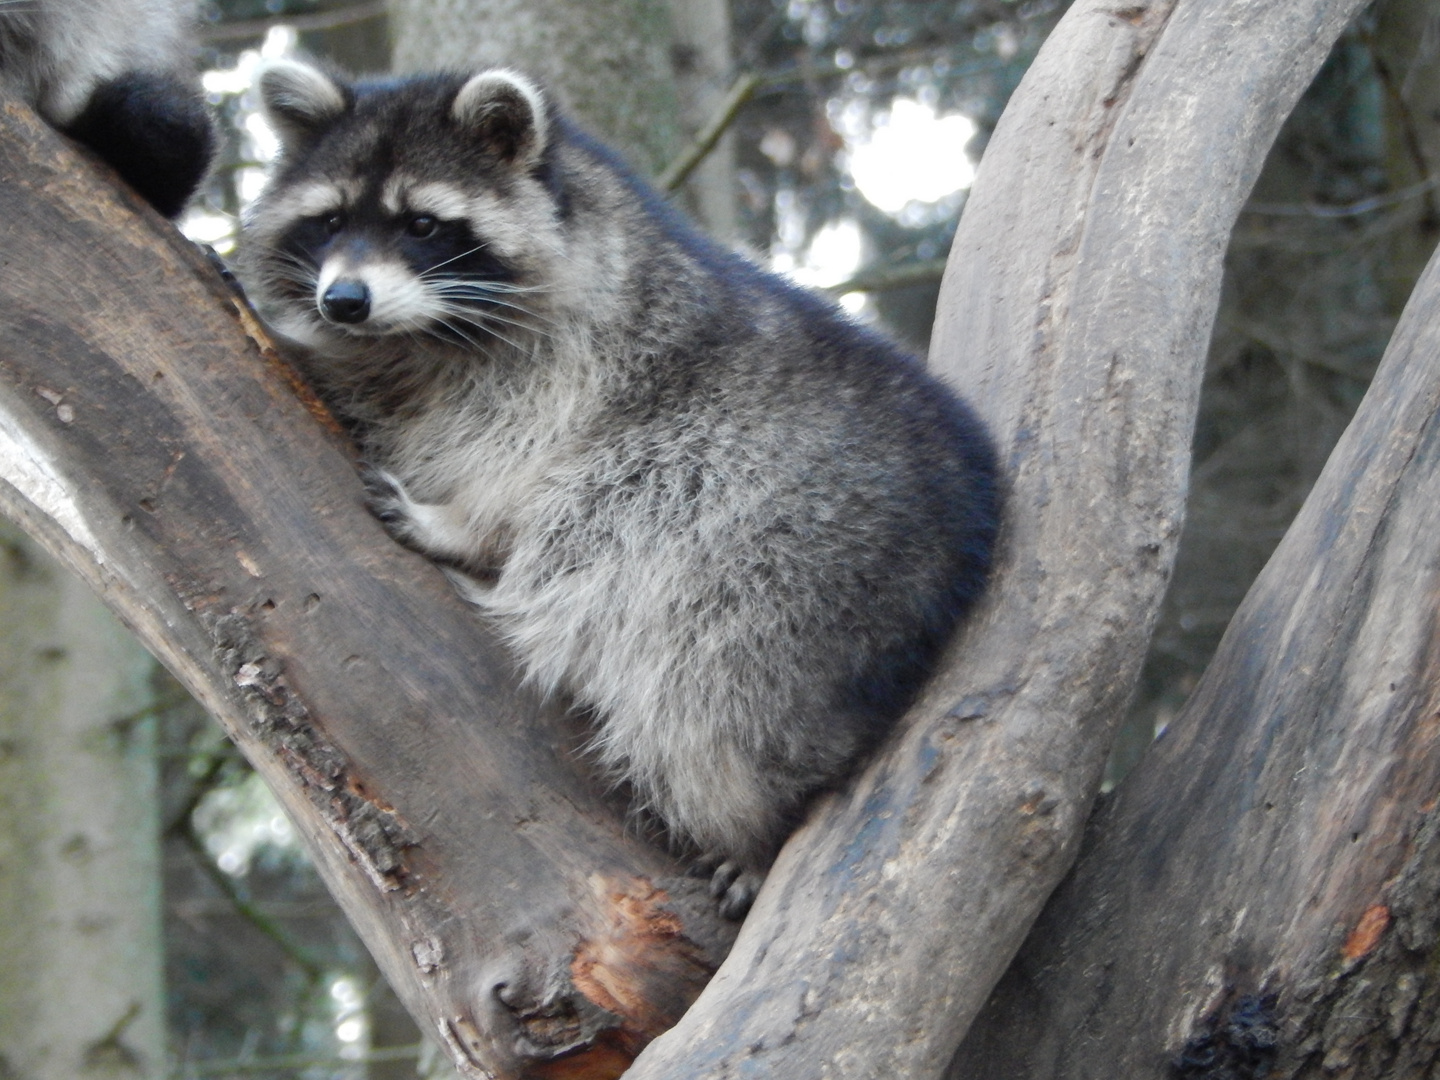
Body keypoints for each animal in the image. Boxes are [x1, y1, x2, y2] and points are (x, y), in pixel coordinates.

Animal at [241, 59, 996, 915]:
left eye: (423, 226)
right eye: (330, 220)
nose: (344, 301)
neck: (425, 334)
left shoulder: (585, 359)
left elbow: (527, 462)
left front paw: (463, 522)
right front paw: (312, 351)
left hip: (779, 561)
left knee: (699, 683)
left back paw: (751, 829)